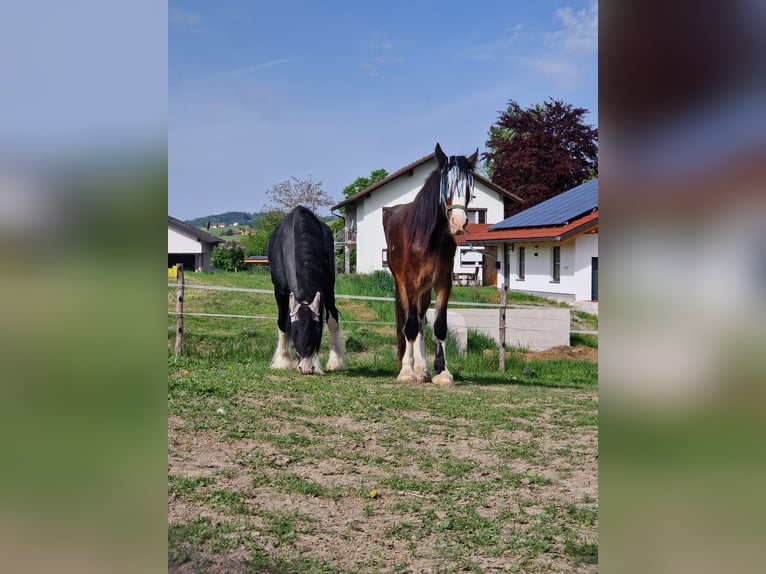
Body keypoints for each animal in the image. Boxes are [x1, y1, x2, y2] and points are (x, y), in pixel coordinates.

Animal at [267, 206, 345, 375]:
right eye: (296, 332)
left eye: (317, 331)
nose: (306, 368)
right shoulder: (279, 291)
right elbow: (282, 322)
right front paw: (282, 361)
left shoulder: (326, 287)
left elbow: (330, 320)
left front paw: (330, 362)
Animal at [382, 143, 477, 386]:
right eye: (446, 186)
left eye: (468, 188)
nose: (459, 223)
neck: (429, 237)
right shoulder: (411, 282)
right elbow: (410, 326)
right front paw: (407, 371)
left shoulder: (443, 283)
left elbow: (439, 326)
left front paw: (441, 371)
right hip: (404, 285)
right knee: (410, 320)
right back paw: (411, 367)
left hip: (424, 290)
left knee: (421, 321)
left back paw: (422, 368)